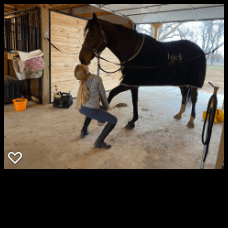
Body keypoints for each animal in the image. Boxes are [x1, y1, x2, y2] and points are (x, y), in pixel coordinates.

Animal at [79, 13, 207, 129]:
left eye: (92, 34)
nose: (82, 58)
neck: (132, 50)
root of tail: (200, 50)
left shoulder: (129, 83)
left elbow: (115, 94)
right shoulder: (132, 84)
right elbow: (131, 100)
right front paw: (132, 121)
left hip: (193, 83)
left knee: (194, 99)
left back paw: (191, 121)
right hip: (181, 82)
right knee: (184, 93)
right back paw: (179, 114)